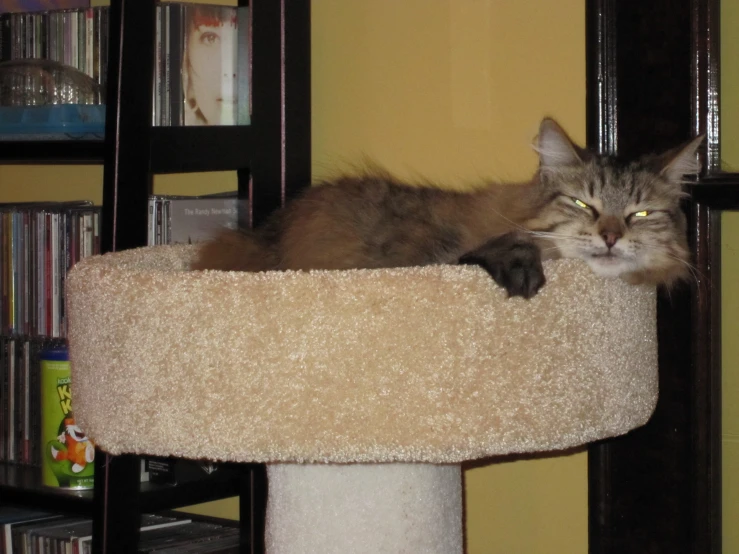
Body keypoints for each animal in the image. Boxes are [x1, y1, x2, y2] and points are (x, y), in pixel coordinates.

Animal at [194, 117, 704, 298]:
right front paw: (522, 272)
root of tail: (264, 234)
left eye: (640, 214)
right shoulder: (442, 257)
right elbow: (504, 248)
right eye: (583, 204)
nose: (611, 237)